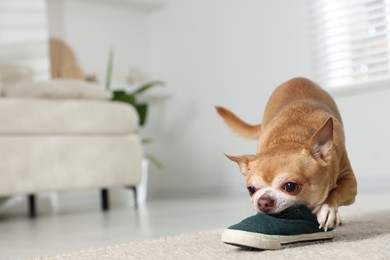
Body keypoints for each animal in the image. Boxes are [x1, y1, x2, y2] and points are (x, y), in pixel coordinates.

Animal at [218, 76, 358, 230]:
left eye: (291, 186)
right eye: (251, 189)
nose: (263, 201)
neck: (291, 137)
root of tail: (297, 78)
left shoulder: (350, 182)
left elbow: (335, 191)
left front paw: (326, 209)